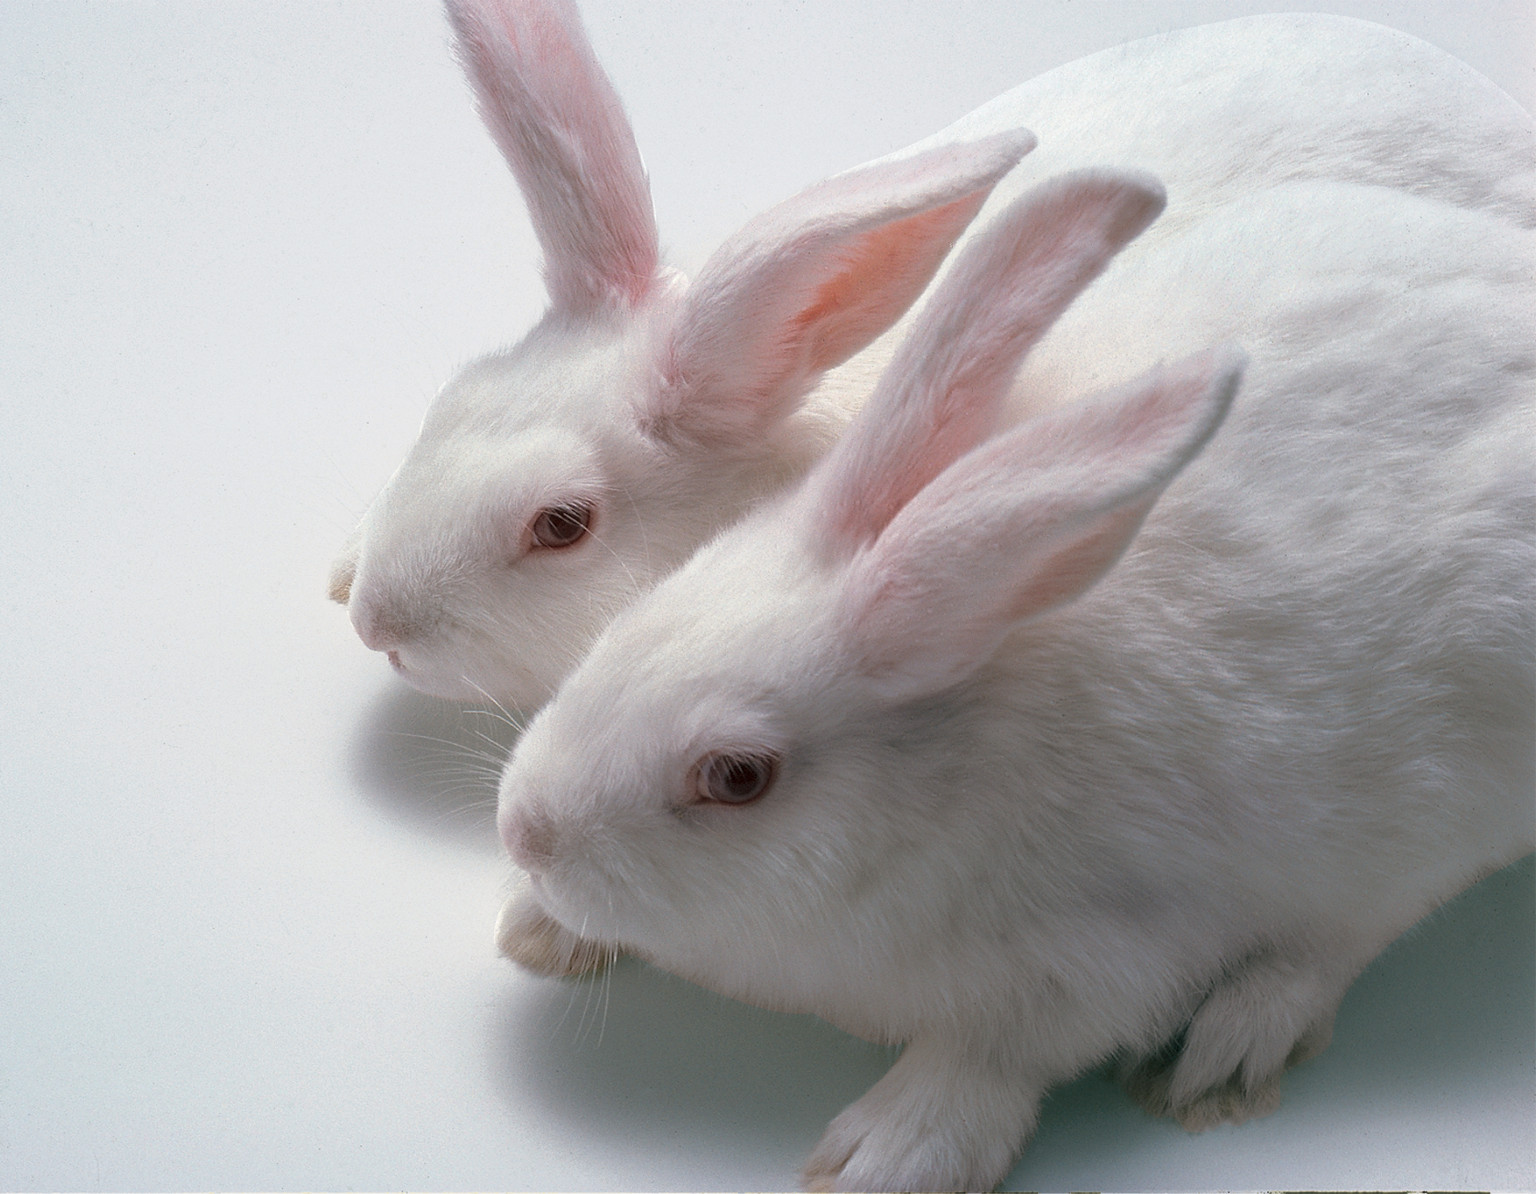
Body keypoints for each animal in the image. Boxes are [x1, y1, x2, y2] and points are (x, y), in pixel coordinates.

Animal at [491, 149, 1536, 1192]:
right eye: (627, 623)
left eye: (737, 777)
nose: (525, 834)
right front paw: (539, 932)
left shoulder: (1092, 965)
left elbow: (990, 1058)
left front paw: (882, 1158)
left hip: (1445, 800)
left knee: (1348, 935)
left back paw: (1227, 1051)